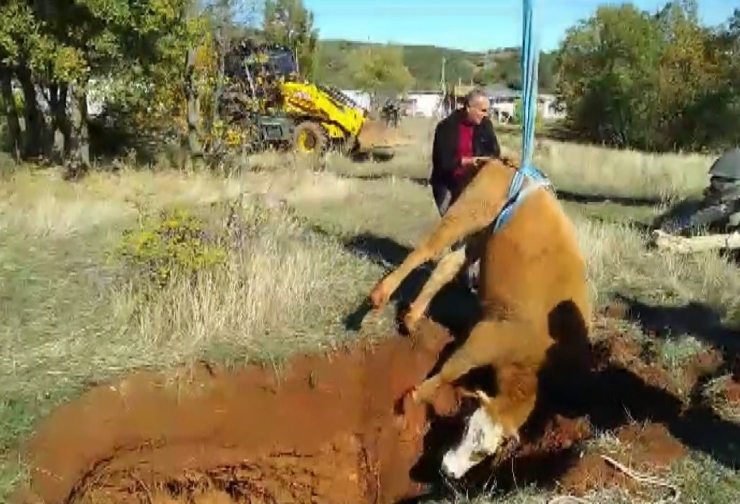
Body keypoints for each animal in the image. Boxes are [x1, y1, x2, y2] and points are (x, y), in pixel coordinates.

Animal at [368, 158, 592, 480]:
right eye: (468, 430)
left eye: (484, 453)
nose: (449, 472)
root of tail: (507, 161)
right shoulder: (484, 337)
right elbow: (450, 370)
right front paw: (413, 399)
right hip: (469, 211)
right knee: (426, 250)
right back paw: (380, 293)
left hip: (482, 234)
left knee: (447, 264)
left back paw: (412, 316)